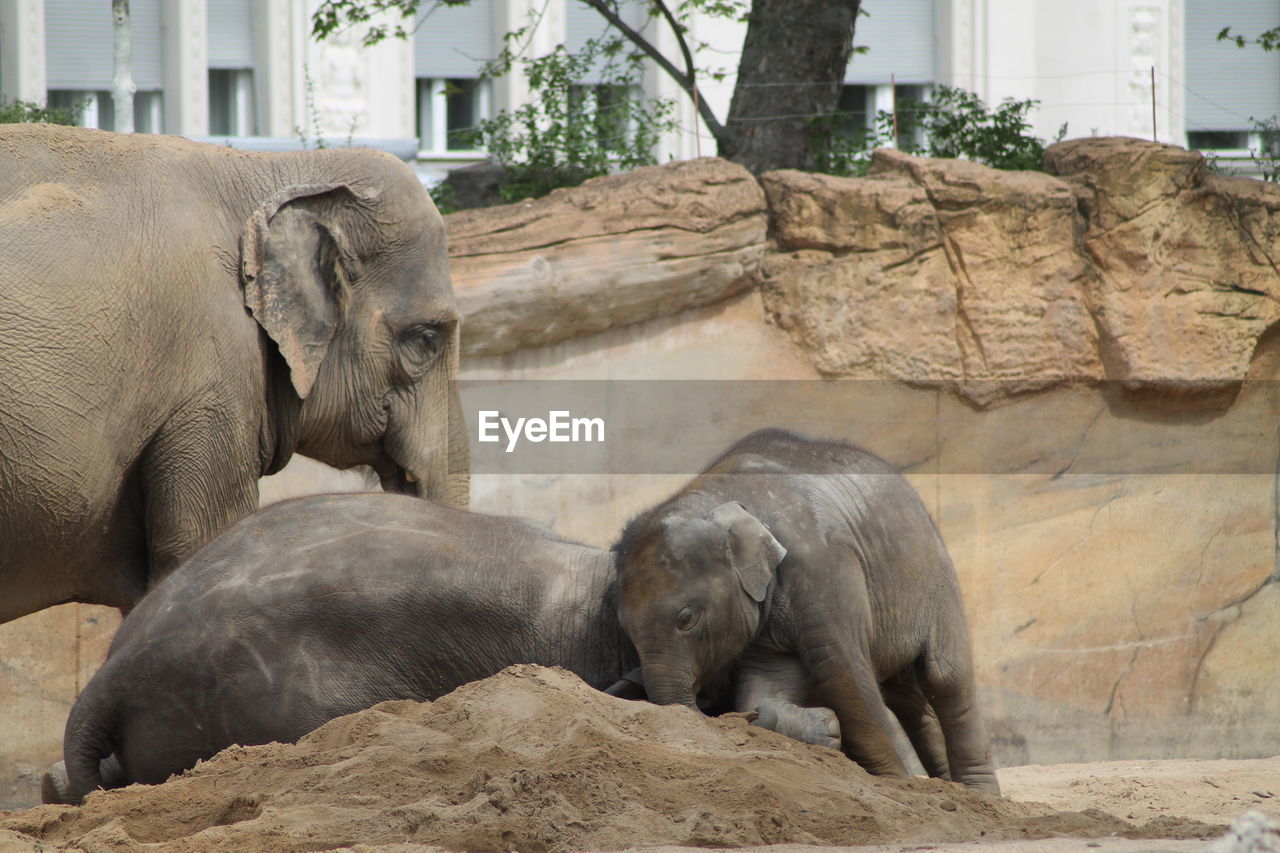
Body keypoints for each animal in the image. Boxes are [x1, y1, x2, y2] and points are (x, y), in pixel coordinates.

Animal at [614, 425, 1003, 788]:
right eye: (626, 632)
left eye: (687, 619)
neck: (722, 497)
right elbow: (763, 686)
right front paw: (826, 728)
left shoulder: (822, 565)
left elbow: (840, 669)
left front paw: (896, 781)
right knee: (907, 696)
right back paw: (950, 787)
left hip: (936, 579)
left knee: (945, 678)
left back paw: (979, 793)